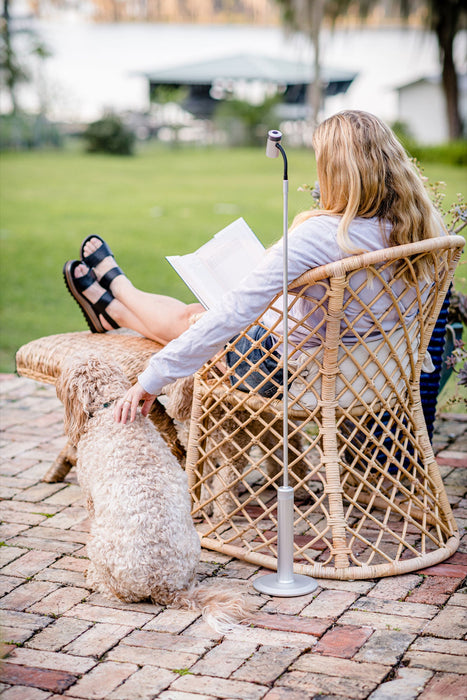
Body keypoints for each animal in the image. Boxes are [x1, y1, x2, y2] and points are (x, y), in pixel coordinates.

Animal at [56, 358, 252, 632]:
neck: (109, 407)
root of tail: (165, 586)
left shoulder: (90, 496)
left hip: (99, 545)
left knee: (116, 591)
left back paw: (94, 578)